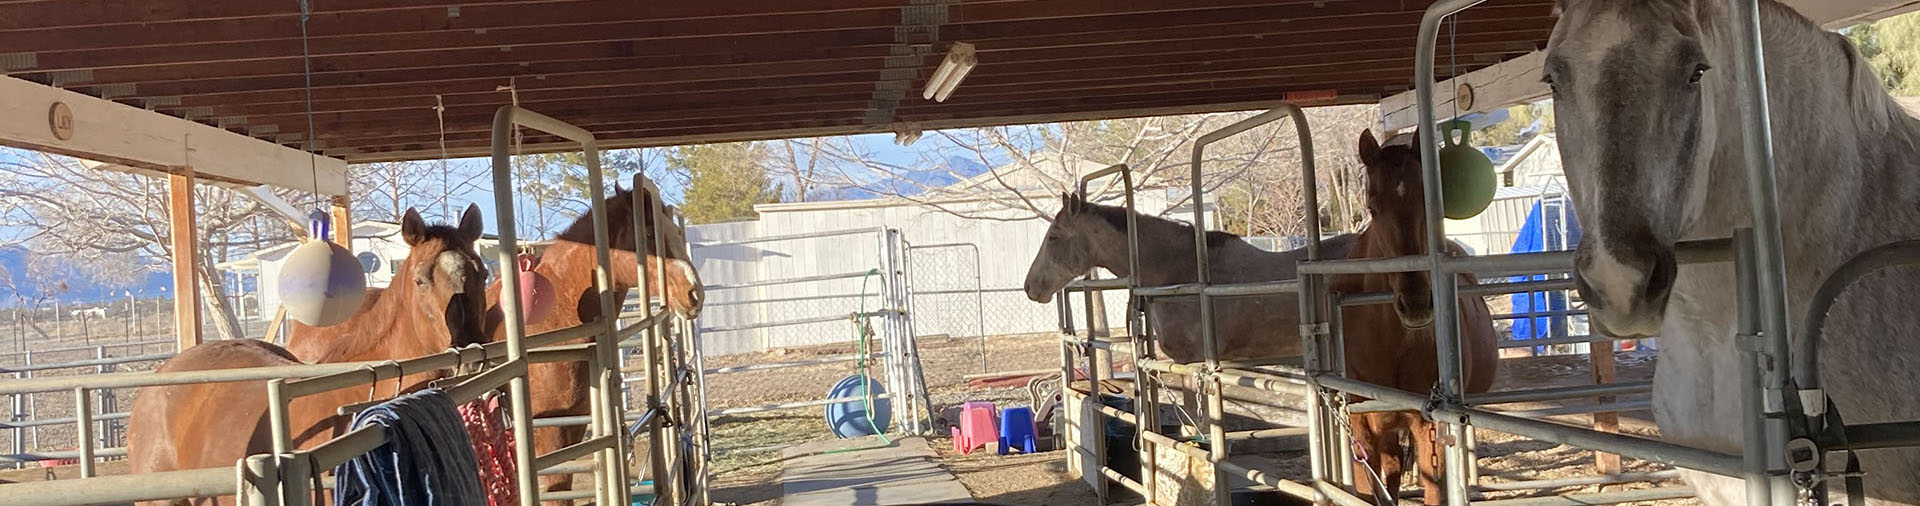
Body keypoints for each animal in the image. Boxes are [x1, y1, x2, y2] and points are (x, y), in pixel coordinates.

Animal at [482, 172, 704, 502]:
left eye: (676, 231)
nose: (695, 293)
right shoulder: (546, 432)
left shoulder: (574, 426)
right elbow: (556, 488)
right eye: (649, 234)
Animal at [1337, 130, 1499, 506]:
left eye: (1430, 205)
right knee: (1393, 469)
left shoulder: (1429, 425)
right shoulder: (1362, 428)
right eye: (1372, 207)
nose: (1416, 304)